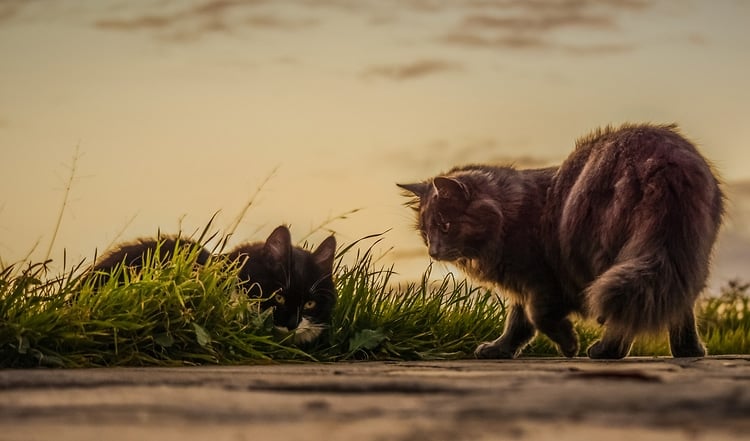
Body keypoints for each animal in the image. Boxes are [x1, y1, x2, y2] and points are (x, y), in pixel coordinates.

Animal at [402, 123, 724, 358]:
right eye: (425, 232)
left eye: (445, 225)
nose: (433, 251)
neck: (510, 214)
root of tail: (664, 159)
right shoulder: (523, 285)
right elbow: (518, 324)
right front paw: (500, 349)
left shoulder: (541, 279)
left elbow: (536, 317)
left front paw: (570, 344)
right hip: (680, 252)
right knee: (678, 303)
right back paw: (688, 351)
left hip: (607, 254)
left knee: (625, 309)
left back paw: (606, 351)